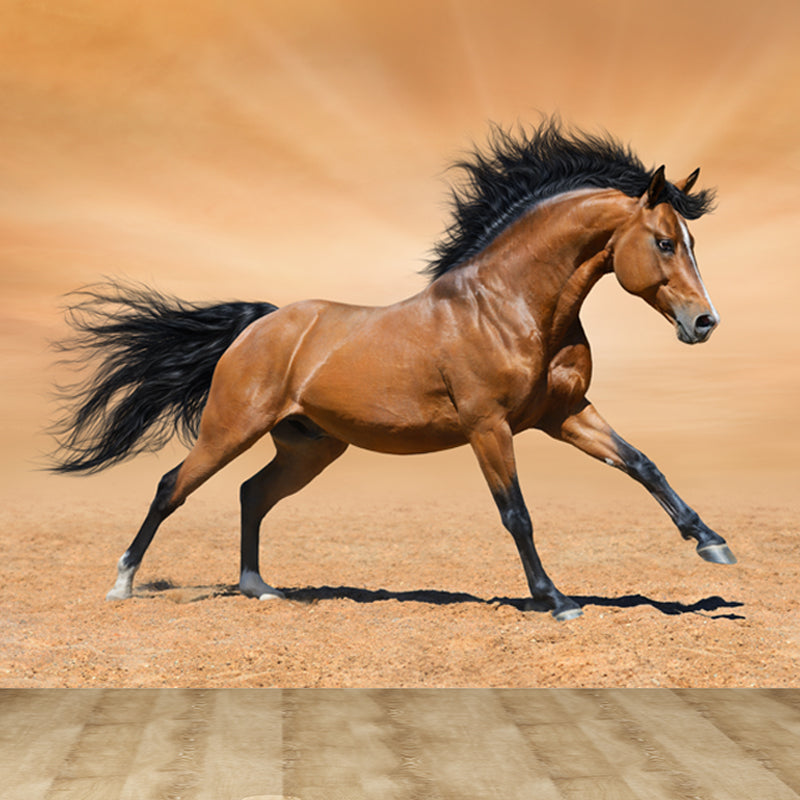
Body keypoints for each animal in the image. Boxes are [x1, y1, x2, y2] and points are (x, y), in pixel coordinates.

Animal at [50, 119, 736, 621]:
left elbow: (643, 464)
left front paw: (712, 543)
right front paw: (556, 600)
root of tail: (260, 324)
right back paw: (122, 584)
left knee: (251, 493)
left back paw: (260, 587)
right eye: (665, 242)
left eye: (691, 242)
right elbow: (516, 513)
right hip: (230, 428)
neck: (512, 306)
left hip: (309, 447)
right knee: (173, 486)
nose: (705, 322)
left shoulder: (566, 415)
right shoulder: (489, 427)